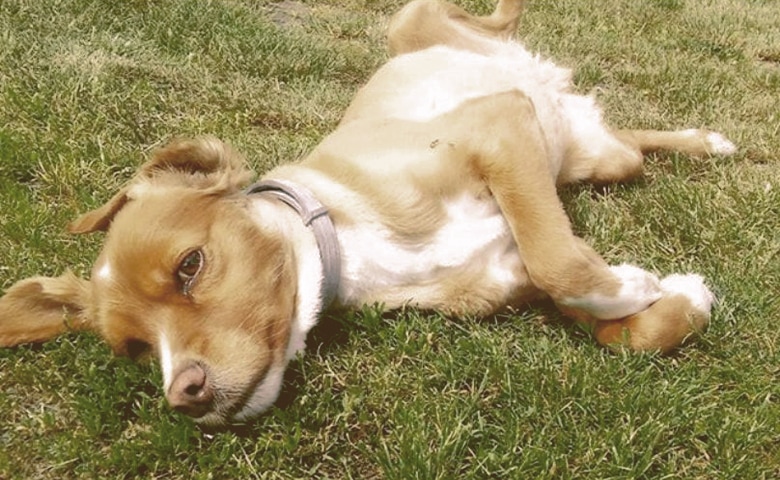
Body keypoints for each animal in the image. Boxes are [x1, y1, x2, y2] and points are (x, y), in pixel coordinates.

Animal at [0, 0, 736, 428]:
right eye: (133, 349)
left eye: (190, 265)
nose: (184, 395)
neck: (353, 242)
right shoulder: (515, 273)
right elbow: (624, 326)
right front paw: (675, 295)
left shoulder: (499, 128)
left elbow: (563, 261)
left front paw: (634, 286)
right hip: (599, 160)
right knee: (630, 143)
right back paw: (705, 141)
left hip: (418, 25)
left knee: (482, 14)